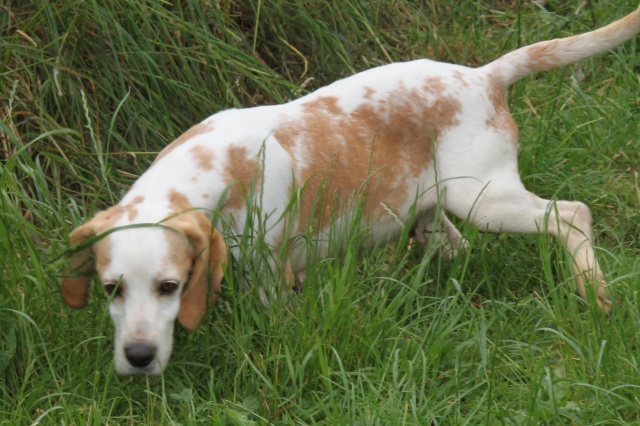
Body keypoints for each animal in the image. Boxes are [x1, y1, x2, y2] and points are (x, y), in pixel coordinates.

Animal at [61, 5, 640, 372]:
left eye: (170, 287)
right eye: (111, 289)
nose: (137, 359)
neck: (215, 170)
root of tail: (485, 76)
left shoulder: (273, 279)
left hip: (485, 200)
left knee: (571, 213)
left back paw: (594, 295)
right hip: (434, 216)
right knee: (458, 246)